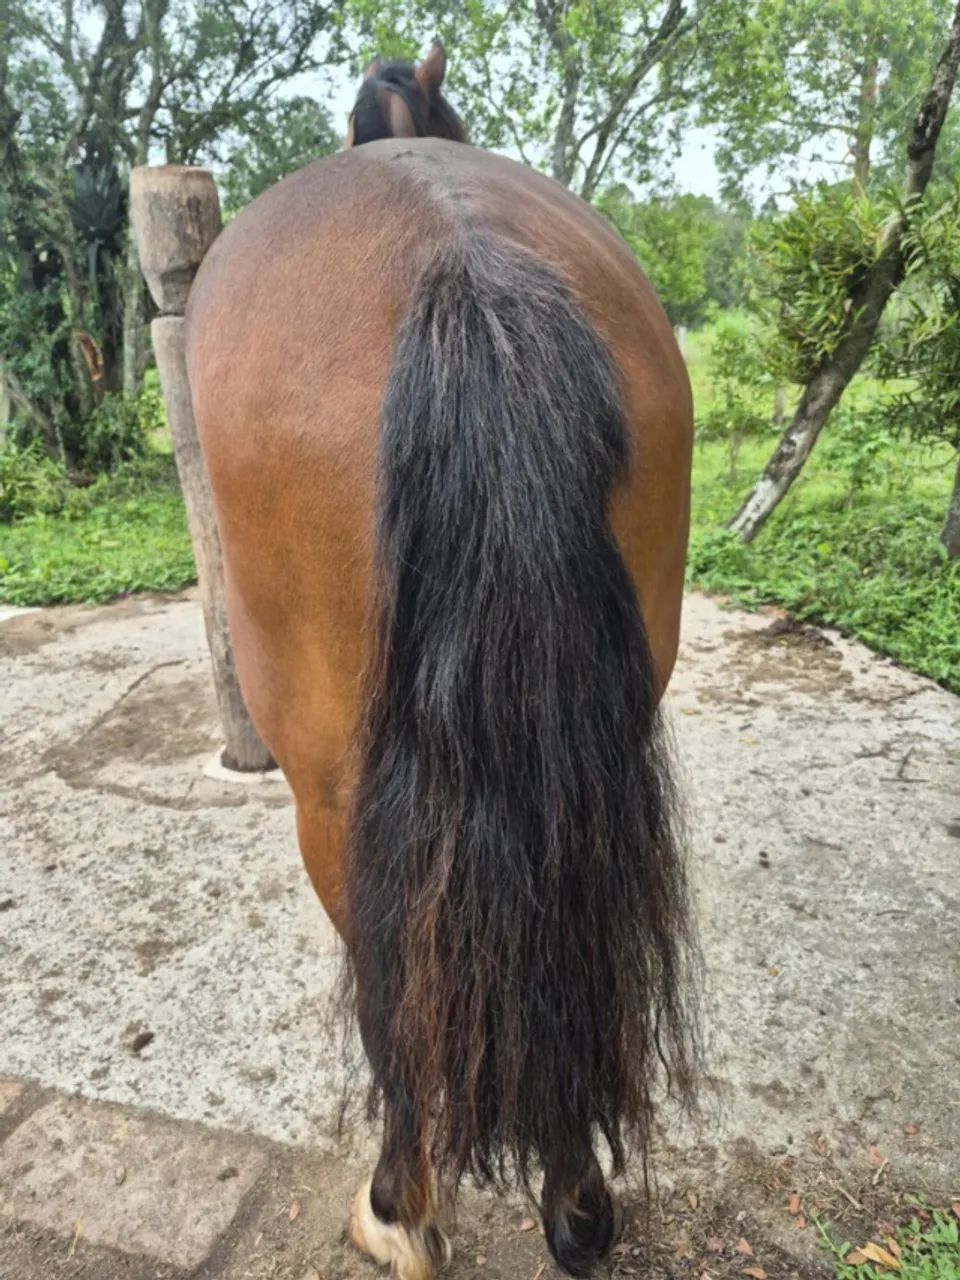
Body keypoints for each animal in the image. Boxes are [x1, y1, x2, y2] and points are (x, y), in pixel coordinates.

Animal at [185, 42, 698, 1280]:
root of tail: (461, 267)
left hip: (336, 796)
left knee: (397, 984)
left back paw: (400, 1203)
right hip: (591, 750)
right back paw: (577, 1204)